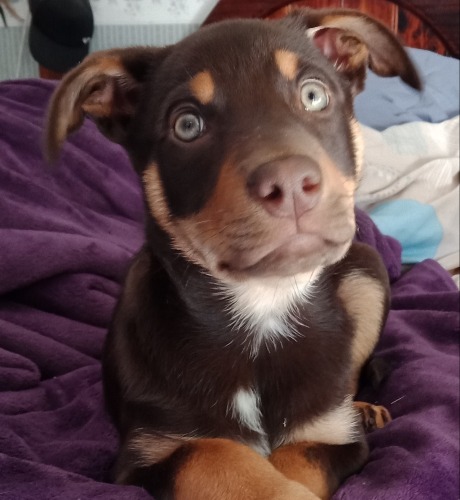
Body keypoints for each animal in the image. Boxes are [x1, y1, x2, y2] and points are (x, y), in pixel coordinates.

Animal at [45, 8, 420, 500]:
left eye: (314, 95)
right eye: (187, 125)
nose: (291, 183)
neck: (263, 306)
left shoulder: (330, 437)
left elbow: (294, 457)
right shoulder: (148, 452)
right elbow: (218, 456)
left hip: (366, 272)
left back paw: (365, 407)